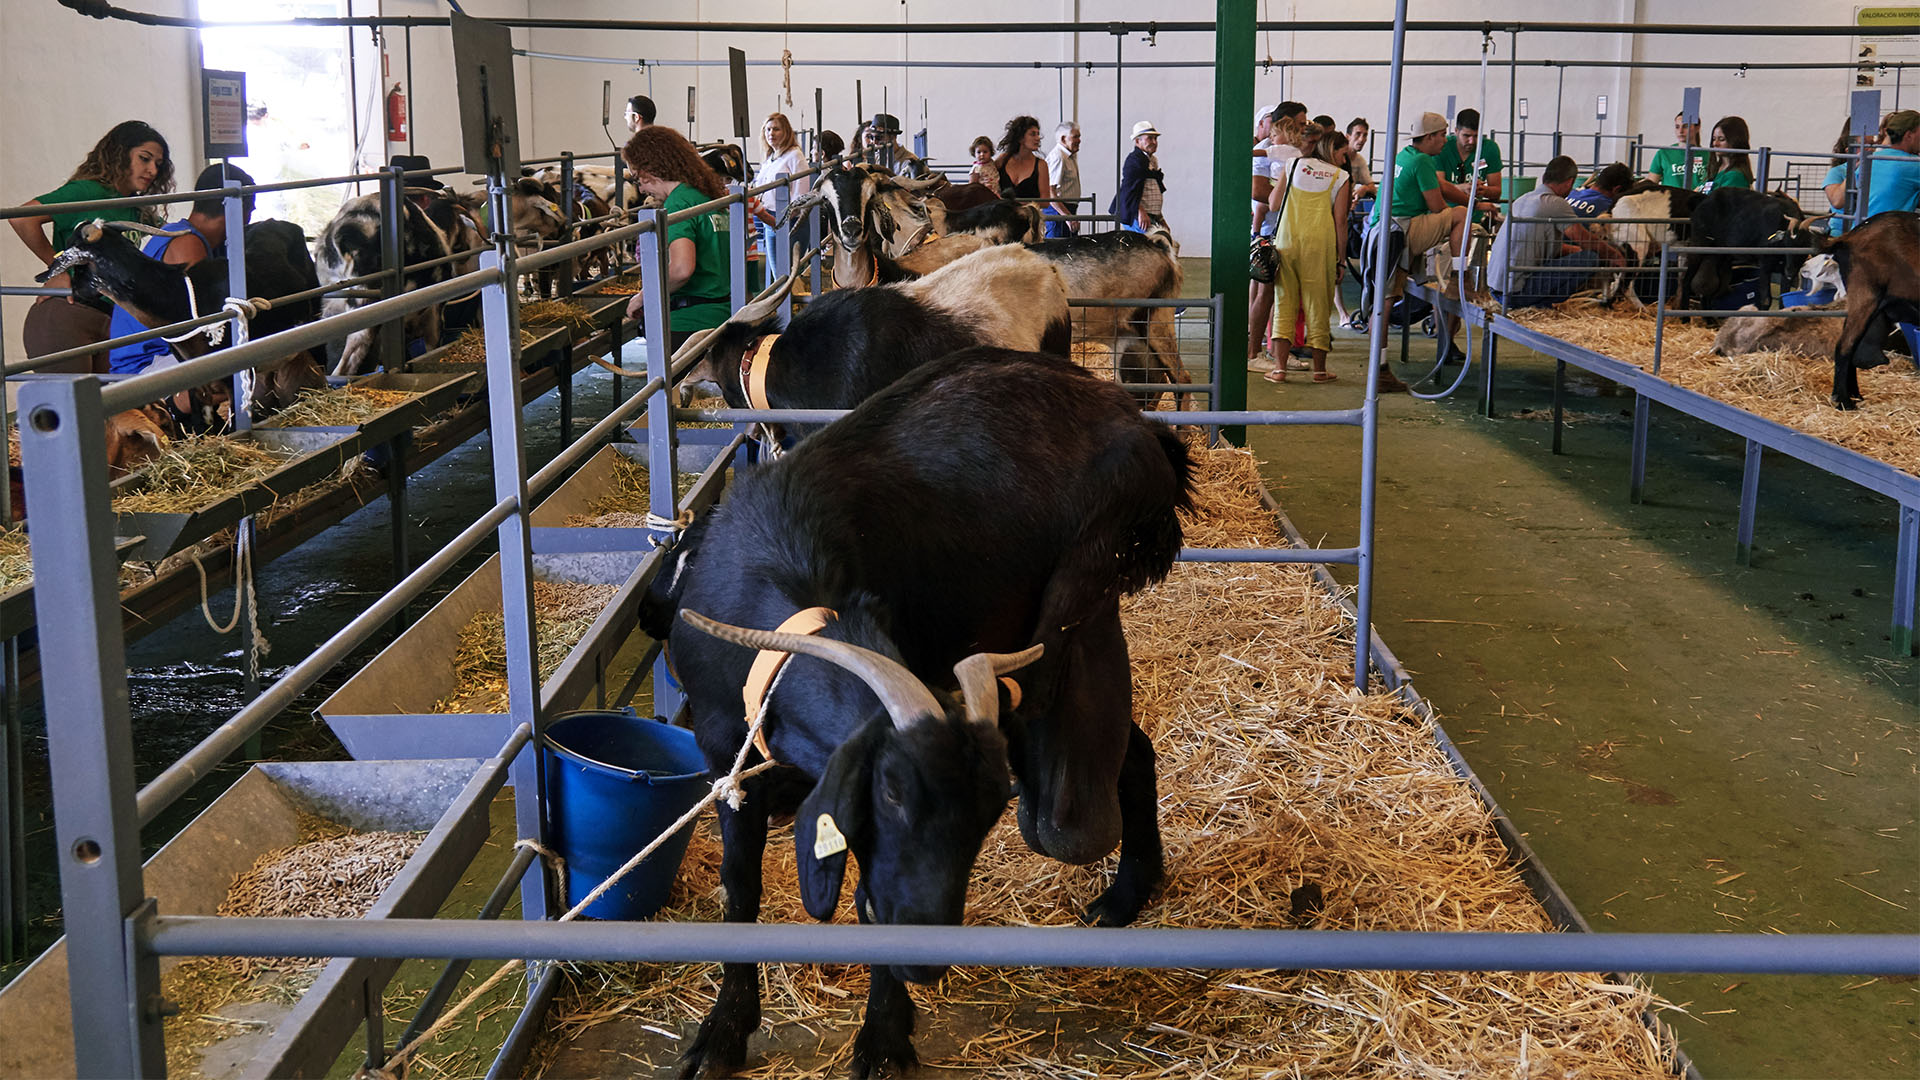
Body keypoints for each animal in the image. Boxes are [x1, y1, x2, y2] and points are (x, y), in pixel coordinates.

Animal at [648, 349, 1182, 1068]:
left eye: (991, 810)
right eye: (891, 792)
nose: (927, 953)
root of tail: (1137, 419)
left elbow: (867, 898)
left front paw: (883, 1035)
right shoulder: (722, 749)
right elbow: (741, 882)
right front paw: (725, 1028)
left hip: (1085, 593)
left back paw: (1123, 891)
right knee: (1131, 752)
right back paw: (1126, 896)